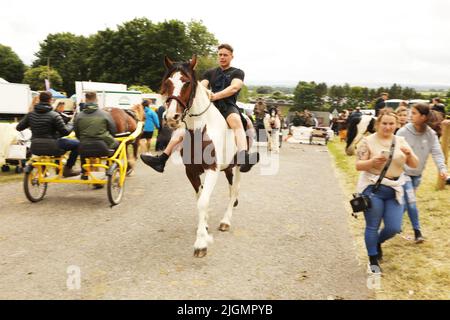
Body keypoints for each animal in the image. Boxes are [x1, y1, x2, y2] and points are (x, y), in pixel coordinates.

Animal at [162, 57, 246, 258]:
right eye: (168, 82)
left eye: (186, 82)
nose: (171, 117)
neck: (199, 130)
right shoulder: (191, 172)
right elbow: (200, 198)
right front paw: (204, 226)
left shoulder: (212, 170)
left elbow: (202, 202)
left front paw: (201, 243)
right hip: (228, 169)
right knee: (231, 190)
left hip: (238, 168)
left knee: (234, 191)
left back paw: (225, 221)